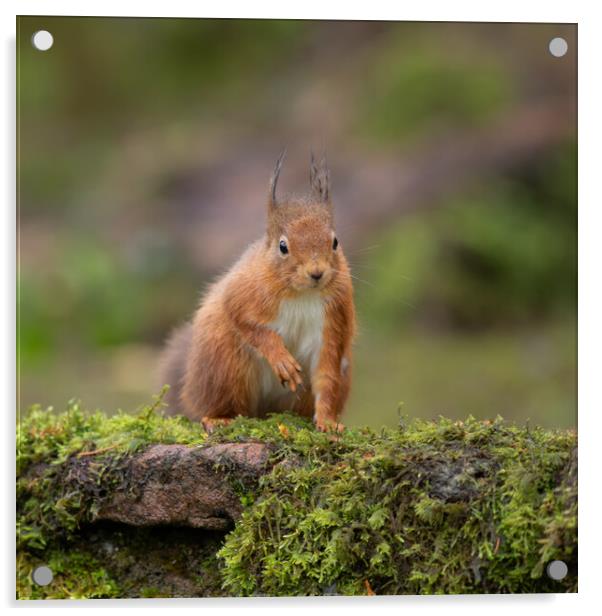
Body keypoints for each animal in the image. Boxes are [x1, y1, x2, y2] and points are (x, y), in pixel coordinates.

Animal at [159, 153, 356, 434]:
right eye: (283, 246)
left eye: (335, 242)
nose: (317, 273)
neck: (301, 294)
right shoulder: (244, 291)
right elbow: (245, 321)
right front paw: (280, 358)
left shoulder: (334, 317)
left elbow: (327, 375)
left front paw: (328, 422)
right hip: (224, 366)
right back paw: (218, 418)